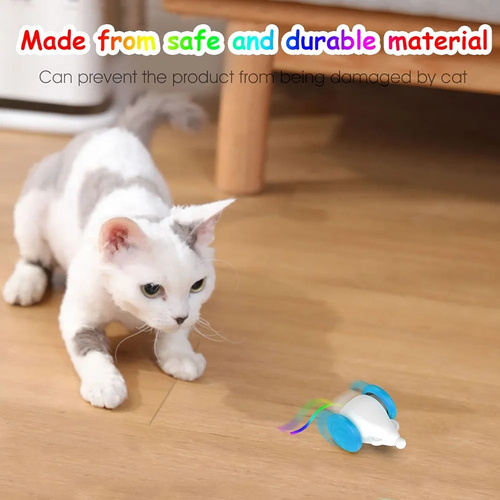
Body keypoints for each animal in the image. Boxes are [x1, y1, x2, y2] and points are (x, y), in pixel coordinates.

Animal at [3, 93, 234, 409]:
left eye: (197, 285)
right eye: (151, 289)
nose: (179, 316)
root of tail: (115, 129)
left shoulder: (193, 309)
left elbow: (176, 333)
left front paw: (180, 356)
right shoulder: (79, 314)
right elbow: (89, 348)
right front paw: (105, 385)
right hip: (32, 205)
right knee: (34, 257)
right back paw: (25, 285)